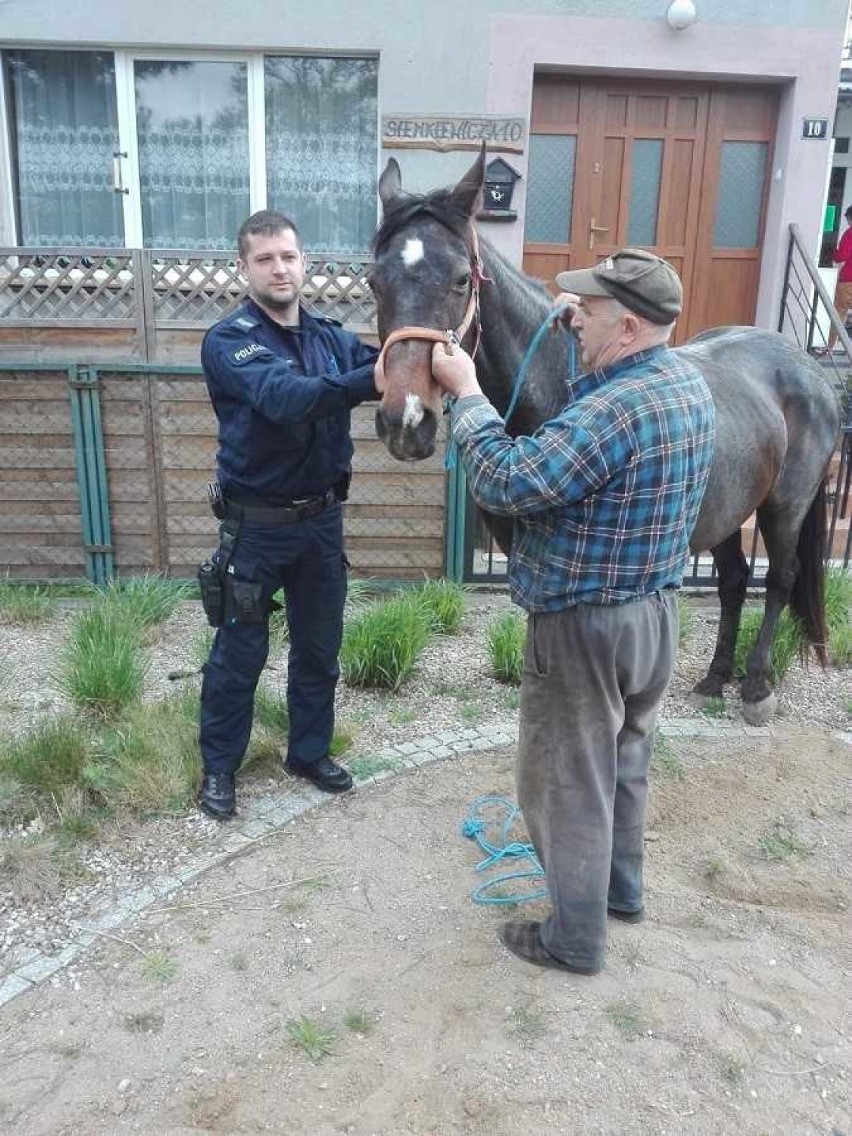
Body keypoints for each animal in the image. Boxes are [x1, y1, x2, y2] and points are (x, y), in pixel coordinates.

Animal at [370, 151, 845, 722]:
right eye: (374, 282)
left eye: (462, 279)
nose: (404, 418)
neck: (558, 382)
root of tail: (807, 367)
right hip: (732, 507)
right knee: (733, 581)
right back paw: (714, 678)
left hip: (784, 506)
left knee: (779, 580)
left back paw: (755, 686)